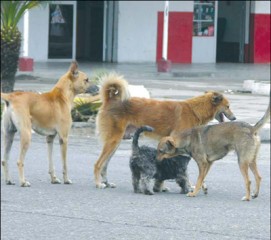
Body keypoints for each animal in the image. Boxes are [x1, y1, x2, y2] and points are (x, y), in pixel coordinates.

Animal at [94, 73, 237, 188]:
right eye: (228, 106)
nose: (235, 118)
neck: (194, 111)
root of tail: (110, 100)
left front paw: (162, 186)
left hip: (116, 142)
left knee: (104, 165)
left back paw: (107, 182)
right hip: (113, 141)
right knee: (98, 164)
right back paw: (98, 183)